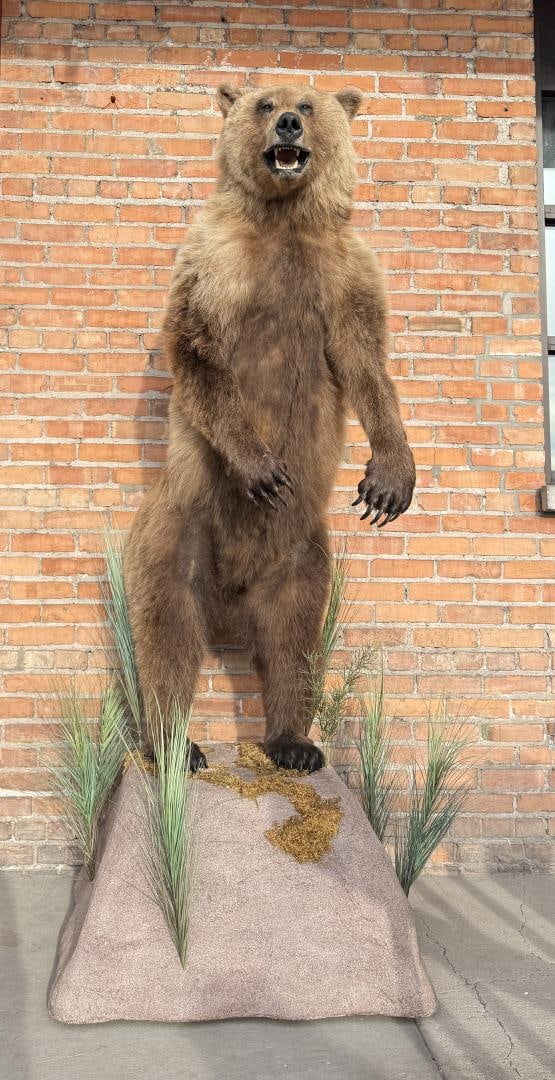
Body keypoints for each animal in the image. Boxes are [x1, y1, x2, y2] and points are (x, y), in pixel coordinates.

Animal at [124, 83, 416, 774]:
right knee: (167, 634)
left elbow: (366, 361)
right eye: (263, 103)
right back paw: (179, 745)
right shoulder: (214, 260)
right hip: (177, 529)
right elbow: (197, 347)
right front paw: (261, 469)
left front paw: (389, 483)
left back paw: (294, 744)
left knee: (294, 638)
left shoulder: (343, 271)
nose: (286, 122)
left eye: (307, 106)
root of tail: (230, 607)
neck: (283, 221)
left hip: (300, 551)